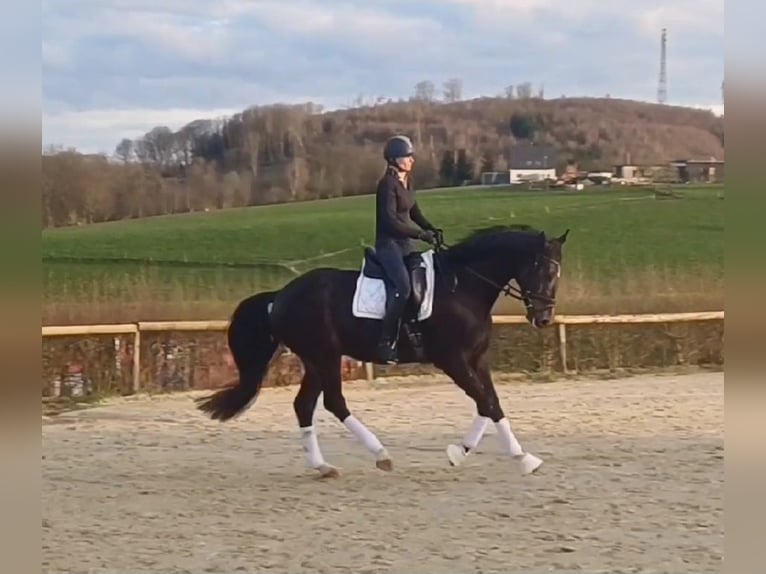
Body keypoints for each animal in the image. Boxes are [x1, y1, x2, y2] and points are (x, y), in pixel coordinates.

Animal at [196, 224, 569, 478]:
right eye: (542, 269)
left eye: (558, 273)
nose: (544, 318)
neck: (463, 286)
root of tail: (280, 297)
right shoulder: (452, 360)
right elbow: (486, 402)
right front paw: (511, 457)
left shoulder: (477, 358)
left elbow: (490, 402)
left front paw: (476, 453)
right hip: (326, 357)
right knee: (334, 402)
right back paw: (381, 454)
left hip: (316, 360)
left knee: (304, 405)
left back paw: (323, 466)